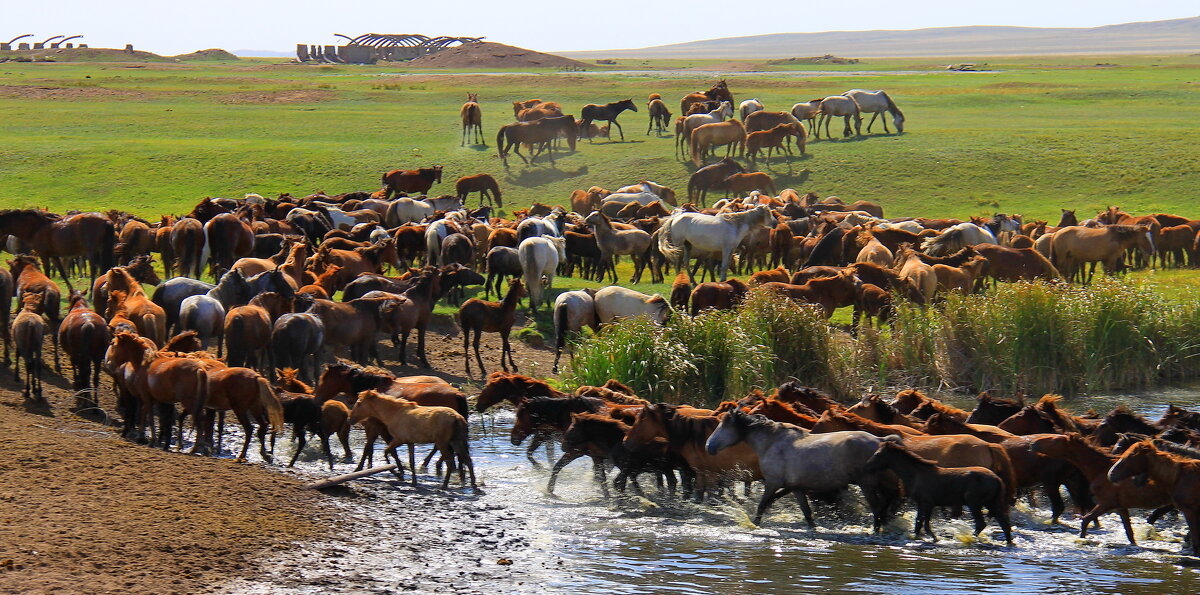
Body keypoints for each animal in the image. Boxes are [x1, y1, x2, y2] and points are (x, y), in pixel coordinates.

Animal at [864, 441, 1012, 544]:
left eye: (877, 454)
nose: (867, 467)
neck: (915, 475)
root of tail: (997, 479)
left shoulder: (927, 503)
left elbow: (923, 523)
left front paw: (932, 537)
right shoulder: (924, 503)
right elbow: (921, 523)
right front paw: (925, 537)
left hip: (974, 503)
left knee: (982, 523)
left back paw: (966, 538)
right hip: (991, 503)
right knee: (1004, 523)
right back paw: (1009, 542)